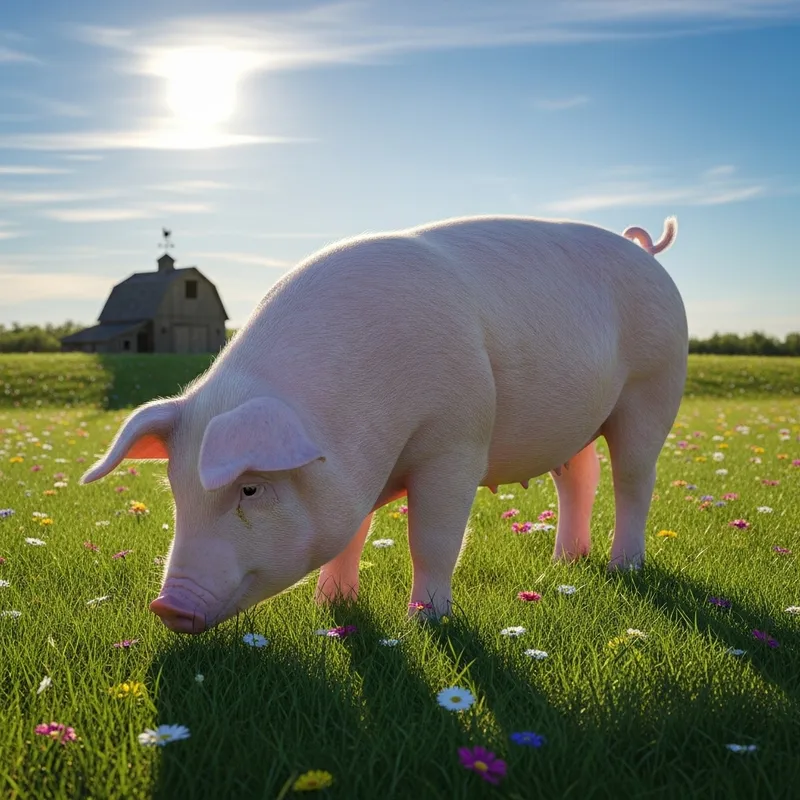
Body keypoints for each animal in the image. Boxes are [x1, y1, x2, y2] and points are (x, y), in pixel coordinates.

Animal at [81, 214, 687, 633]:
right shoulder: (356, 472)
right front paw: (333, 606)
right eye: (176, 488)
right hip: (577, 422)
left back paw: (623, 567)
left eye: (251, 488)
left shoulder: (456, 441)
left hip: (654, 385)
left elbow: (433, 539)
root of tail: (644, 251)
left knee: (634, 480)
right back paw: (566, 561)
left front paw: (424, 621)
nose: (167, 606)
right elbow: (352, 534)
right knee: (579, 476)